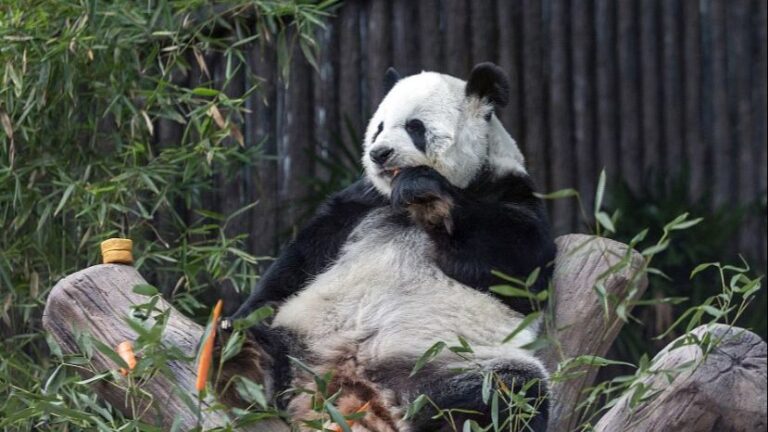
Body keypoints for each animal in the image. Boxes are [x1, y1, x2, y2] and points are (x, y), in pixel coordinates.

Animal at [219, 61, 556, 432]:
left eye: (415, 127)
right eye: (378, 127)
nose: (378, 154)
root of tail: (347, 377)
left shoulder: (509, 191)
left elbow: (521, 268)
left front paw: (425, 190)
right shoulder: (360, 204)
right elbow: (299, 260)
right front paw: (246, 314)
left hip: (452, 358)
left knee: (507, 393)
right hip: (302, 334)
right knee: (268, 343)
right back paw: (243, 355)